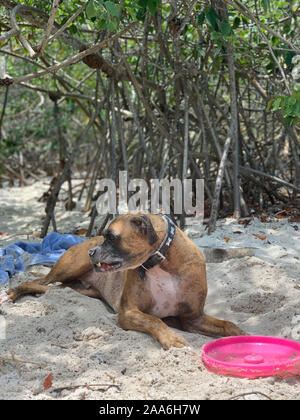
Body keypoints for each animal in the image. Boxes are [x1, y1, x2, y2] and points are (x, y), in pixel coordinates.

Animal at [7, 213, 246, 348]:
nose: (93, 252)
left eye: (111, 237)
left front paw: (243, 335)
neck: (163, 263)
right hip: (67, 270)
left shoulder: (193, 319)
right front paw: (172, 338)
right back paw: (13, 293)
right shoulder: (129, 312)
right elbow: (154, 320)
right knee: (35, 282)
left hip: (75, 289)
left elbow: (228, 324)